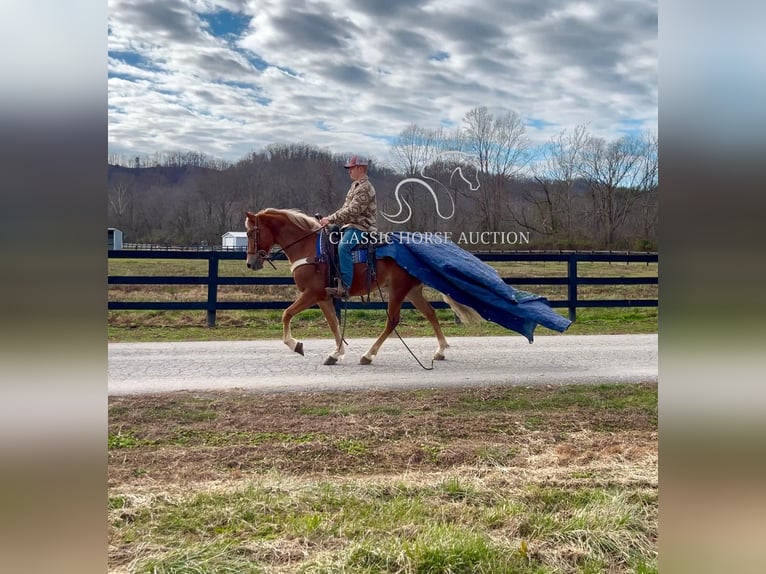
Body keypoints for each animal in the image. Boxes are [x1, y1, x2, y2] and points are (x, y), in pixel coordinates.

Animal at [246, 209, 476, 366]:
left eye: (250, 233)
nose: (250, 263)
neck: (308, 248)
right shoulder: (323, 298)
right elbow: (333, 324)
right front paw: (336, 353)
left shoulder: (311, 294)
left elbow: (286, 313)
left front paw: (295, 344)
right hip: (412, 291)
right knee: (430, 313)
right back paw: (441, 350)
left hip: (397, 290)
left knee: (392, 321)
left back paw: (368, 354)